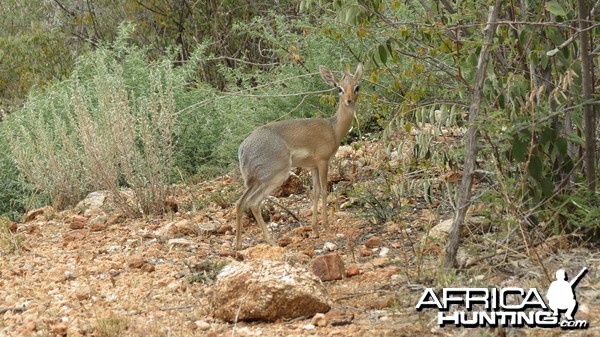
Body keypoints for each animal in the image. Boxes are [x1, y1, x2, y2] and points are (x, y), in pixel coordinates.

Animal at [237, 63, 364, 249]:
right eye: (339, 88)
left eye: (357, 87)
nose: (349, 100)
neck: (333, 129)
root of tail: (243, 148)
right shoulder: (323, 162)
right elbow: (324, 191)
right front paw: (326, 228)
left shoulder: (313, 166)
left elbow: (315, 192)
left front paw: (315, 230)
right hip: (275, 176)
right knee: (253, 202)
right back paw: (270, 241)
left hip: (256, 180)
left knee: (241, 202)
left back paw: (238, 245)